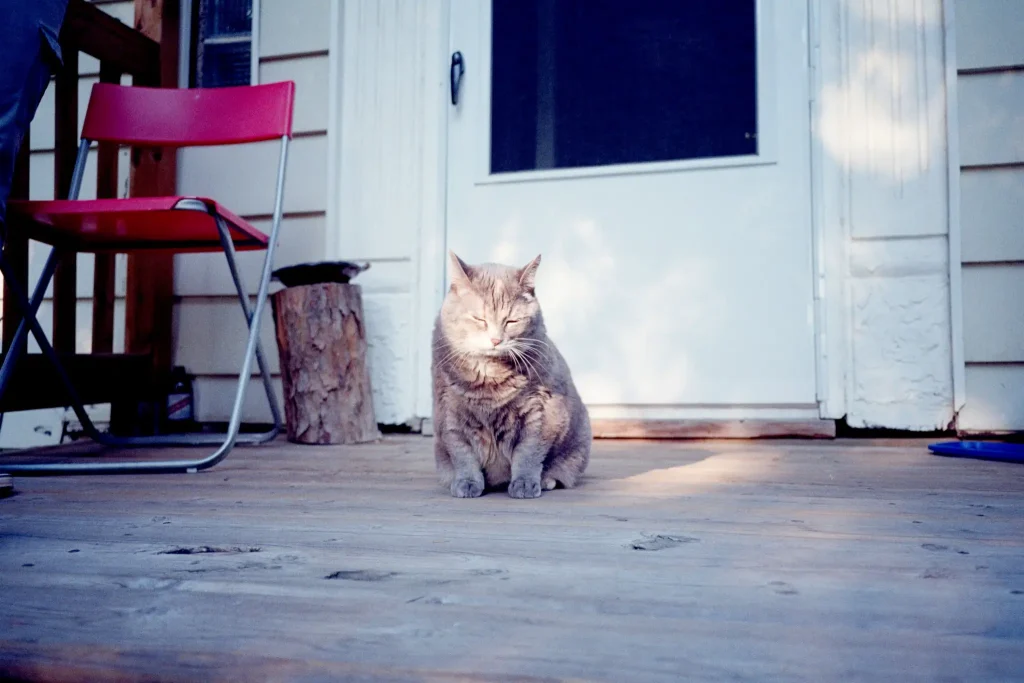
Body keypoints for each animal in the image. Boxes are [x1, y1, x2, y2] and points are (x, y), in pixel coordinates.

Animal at [432, 250, 593, 497]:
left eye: (511, 321)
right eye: (479, 319)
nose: (495, 340)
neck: (489, 376)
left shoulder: (540, 413)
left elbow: (529, 454)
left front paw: (525, 484)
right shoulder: (449, 413)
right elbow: (463, 455)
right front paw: (467, 482)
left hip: (578, 443)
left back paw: (546, 480)